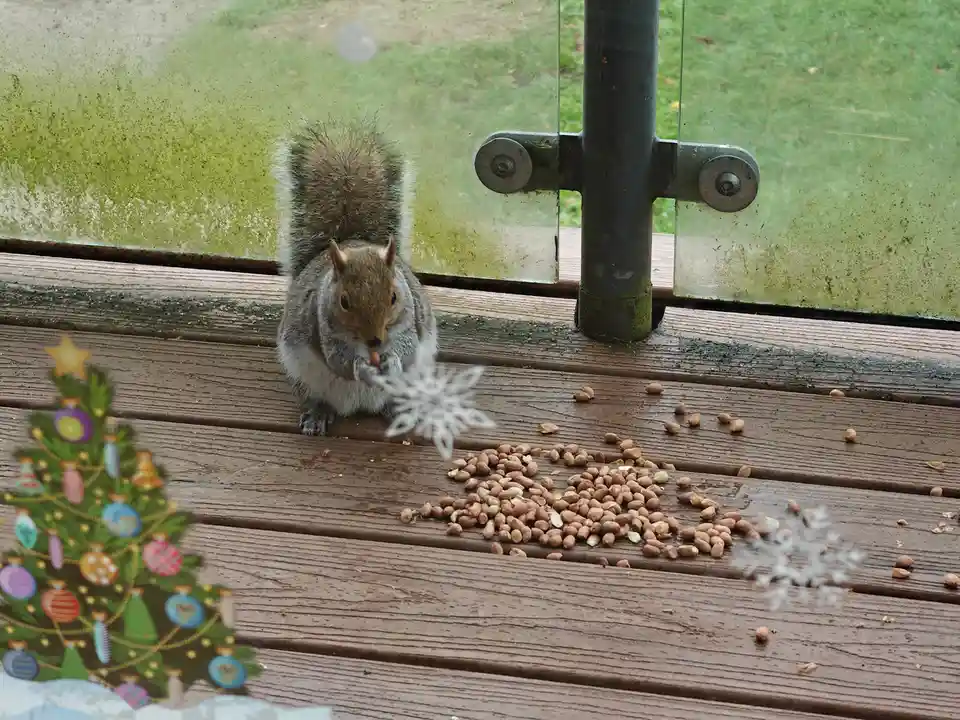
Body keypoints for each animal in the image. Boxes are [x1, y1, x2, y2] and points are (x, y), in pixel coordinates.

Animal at [274, 118, 438, 436]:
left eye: (394, 296)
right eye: (344, 302)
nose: (375, 342)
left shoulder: (408, 318)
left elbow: (408, 347)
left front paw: (393, 361)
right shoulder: (322, 323)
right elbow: (337, 359)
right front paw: (360, 367)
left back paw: (399, 409)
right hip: (303, 375)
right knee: (317, 397)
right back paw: (317, 413)